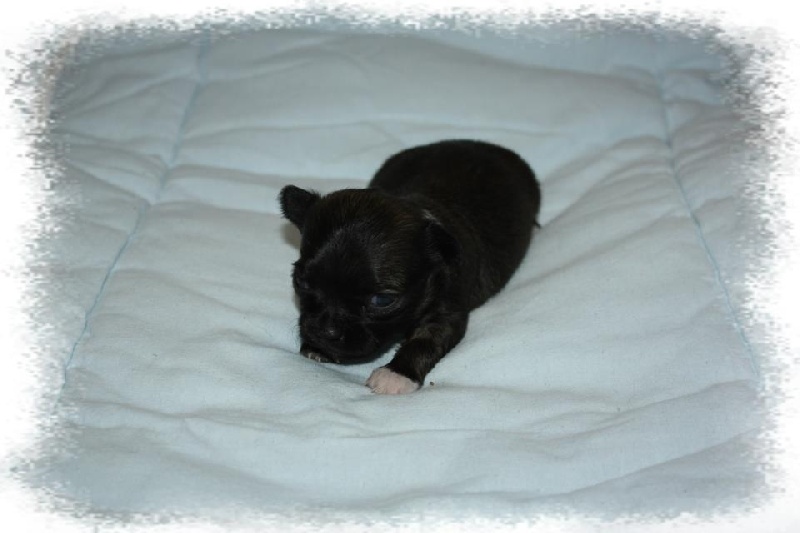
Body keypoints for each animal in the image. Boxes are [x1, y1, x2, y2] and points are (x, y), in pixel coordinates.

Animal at [279, 139, 540, 394]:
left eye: (382, 300)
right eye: (302, 282)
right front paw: (318, 348)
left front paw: (396, 374)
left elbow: (423, 342)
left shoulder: (445, 315)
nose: (326, 331)